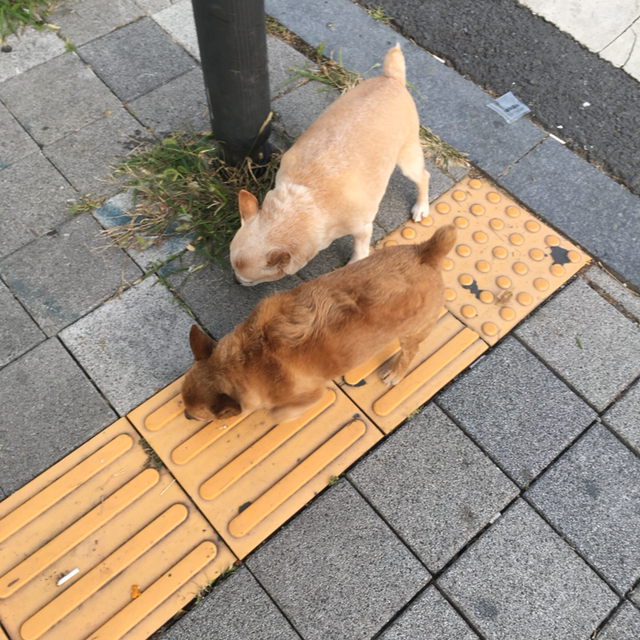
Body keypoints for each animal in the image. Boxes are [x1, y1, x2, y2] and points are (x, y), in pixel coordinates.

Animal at [182, 225, 455, 424]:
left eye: (195, 416)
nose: (184, 414)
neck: (243, 360)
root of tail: (425, 254)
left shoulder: (309, 395)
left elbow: (279, 413)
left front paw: (272, 414)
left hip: (412, 333)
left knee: (410, 352)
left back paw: (396, 372)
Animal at [229, 44, 430, 285]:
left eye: (249, 280)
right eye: (233, 270)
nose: (236, 281)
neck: (301, 203)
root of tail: (392, 78)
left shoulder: (363, 227)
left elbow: (360, 248)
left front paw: (356, 263)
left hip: (408, 160)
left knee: (423, 177)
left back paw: (421, 206)